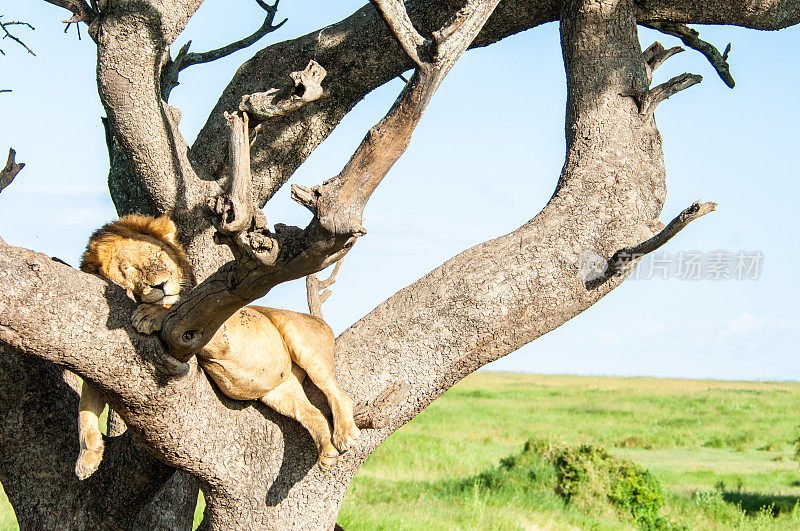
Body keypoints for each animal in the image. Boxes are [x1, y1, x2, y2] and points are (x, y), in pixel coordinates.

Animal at [76, 214, 360, 480]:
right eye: (129, 268)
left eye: (158, 254)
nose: (161, 284)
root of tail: (320, 320)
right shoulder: (100, 372)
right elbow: (85, 408)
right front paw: (87, 458)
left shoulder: (215, 331)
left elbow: (175, 304)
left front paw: (151, 314)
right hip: (280, 392)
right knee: (311, 412)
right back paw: (327, 452)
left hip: (301, 342)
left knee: (339, 393)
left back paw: (345, 435)